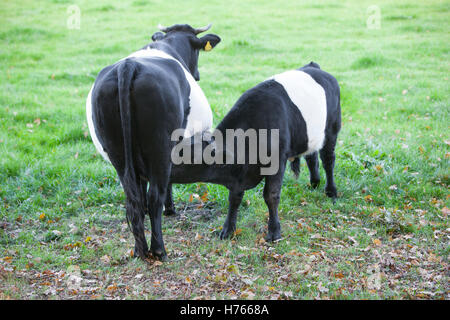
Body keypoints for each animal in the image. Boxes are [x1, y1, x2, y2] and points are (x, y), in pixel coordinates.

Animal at [85, 24, 221, 260]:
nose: (197, 75)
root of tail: (128, 66)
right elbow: (167, 183)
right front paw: (171, 209)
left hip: (118, 153)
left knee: (134, 199)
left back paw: (140, 250)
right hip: (160, 148)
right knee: (154, 195)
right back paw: (159, 250)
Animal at [171, 62, 342, 242]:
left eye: (186, 154)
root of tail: (314, 67)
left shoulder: (277, 161)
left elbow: (271, 195)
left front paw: (274, 232)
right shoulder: (237, 175)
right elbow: (234, 199)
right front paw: (228, 230)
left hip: (332, 128)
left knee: (328, 160)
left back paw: (331, 191)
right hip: (310, 135)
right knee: (312, 157)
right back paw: (314, 183)